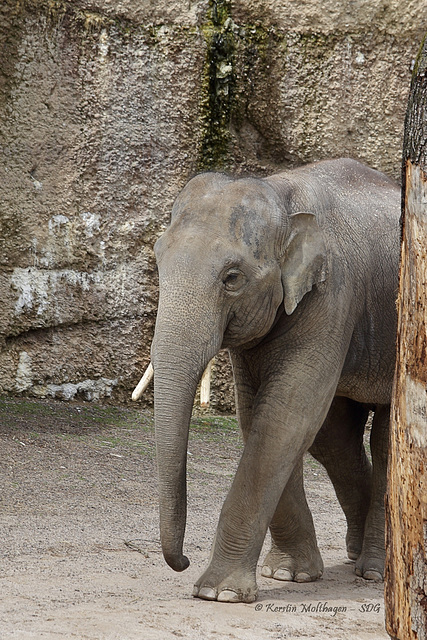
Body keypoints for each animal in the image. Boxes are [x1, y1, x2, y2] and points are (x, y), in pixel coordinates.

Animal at [151, 158, 402, 604]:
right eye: (158, 258)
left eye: (232, 278)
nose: (181, 561)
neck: (281, 193)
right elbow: (259, 416)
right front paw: (288, 574)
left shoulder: (332, 296)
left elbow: (285, 417)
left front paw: (219, 593)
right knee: (334, 439)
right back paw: (355, 553)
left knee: (385, 438)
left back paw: (373, 571)